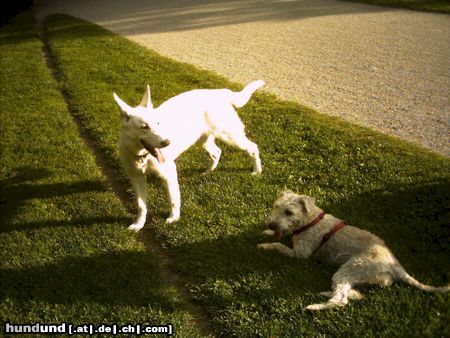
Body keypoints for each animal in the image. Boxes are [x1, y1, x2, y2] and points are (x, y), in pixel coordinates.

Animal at [114, 80, 266, 231]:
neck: (142, 157)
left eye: (158, 123)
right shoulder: (136, 177)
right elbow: (141, 205)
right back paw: (207, 172)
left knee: (253, 147)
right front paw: (139, 224)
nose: (167, 142)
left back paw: (257, 171)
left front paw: (174, 218)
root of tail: (217, 92)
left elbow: (173, 200)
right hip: (203, 141)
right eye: (144, 127)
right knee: (217, 152)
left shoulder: (169, 173)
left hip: (230, 136)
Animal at [258, 190, 448, 308]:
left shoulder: (300, 253)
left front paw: (264, 245)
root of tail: (397, 266)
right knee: (351, 292)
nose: (270, 224)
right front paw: (267, 232)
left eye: (288, 212)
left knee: (341, 300)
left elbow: (278, 245)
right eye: (276, 206)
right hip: (369, 277)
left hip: (352, 268)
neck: (310, 220)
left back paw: (314, 306)